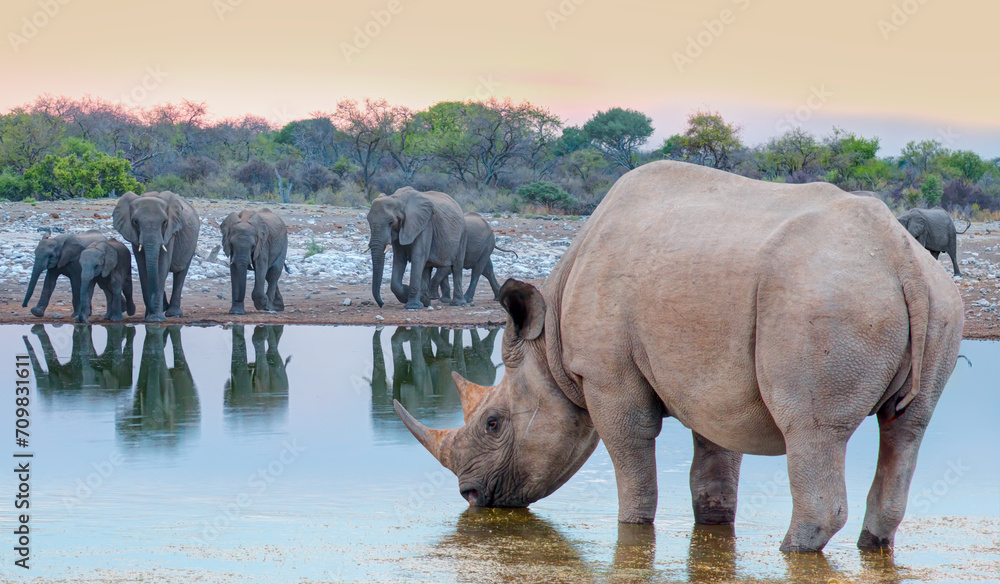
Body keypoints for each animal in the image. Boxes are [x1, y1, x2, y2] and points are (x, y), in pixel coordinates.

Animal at [113, 190, 200, 322]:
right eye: (135, 222)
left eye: (164, 222)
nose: (153, 314)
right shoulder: (134, 235)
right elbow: (143, 268)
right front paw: (149, 318)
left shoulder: (170, 232)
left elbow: (162, 265)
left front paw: (156, 319)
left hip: (192, 242)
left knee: (181, 273)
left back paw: (173, 313)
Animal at [394, 161, 964, 553]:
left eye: (493, 423)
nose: (470, 496)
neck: (548, 344)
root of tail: (898, 254)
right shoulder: (713, 382)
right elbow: (713, 472)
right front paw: (712, 526)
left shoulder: (609, 378)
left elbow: (635, 471)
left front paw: (632, 533)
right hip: (934, 303)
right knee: (907, 427)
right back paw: (873, 547)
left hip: (826, 301)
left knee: (811, 430)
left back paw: (789, 552)